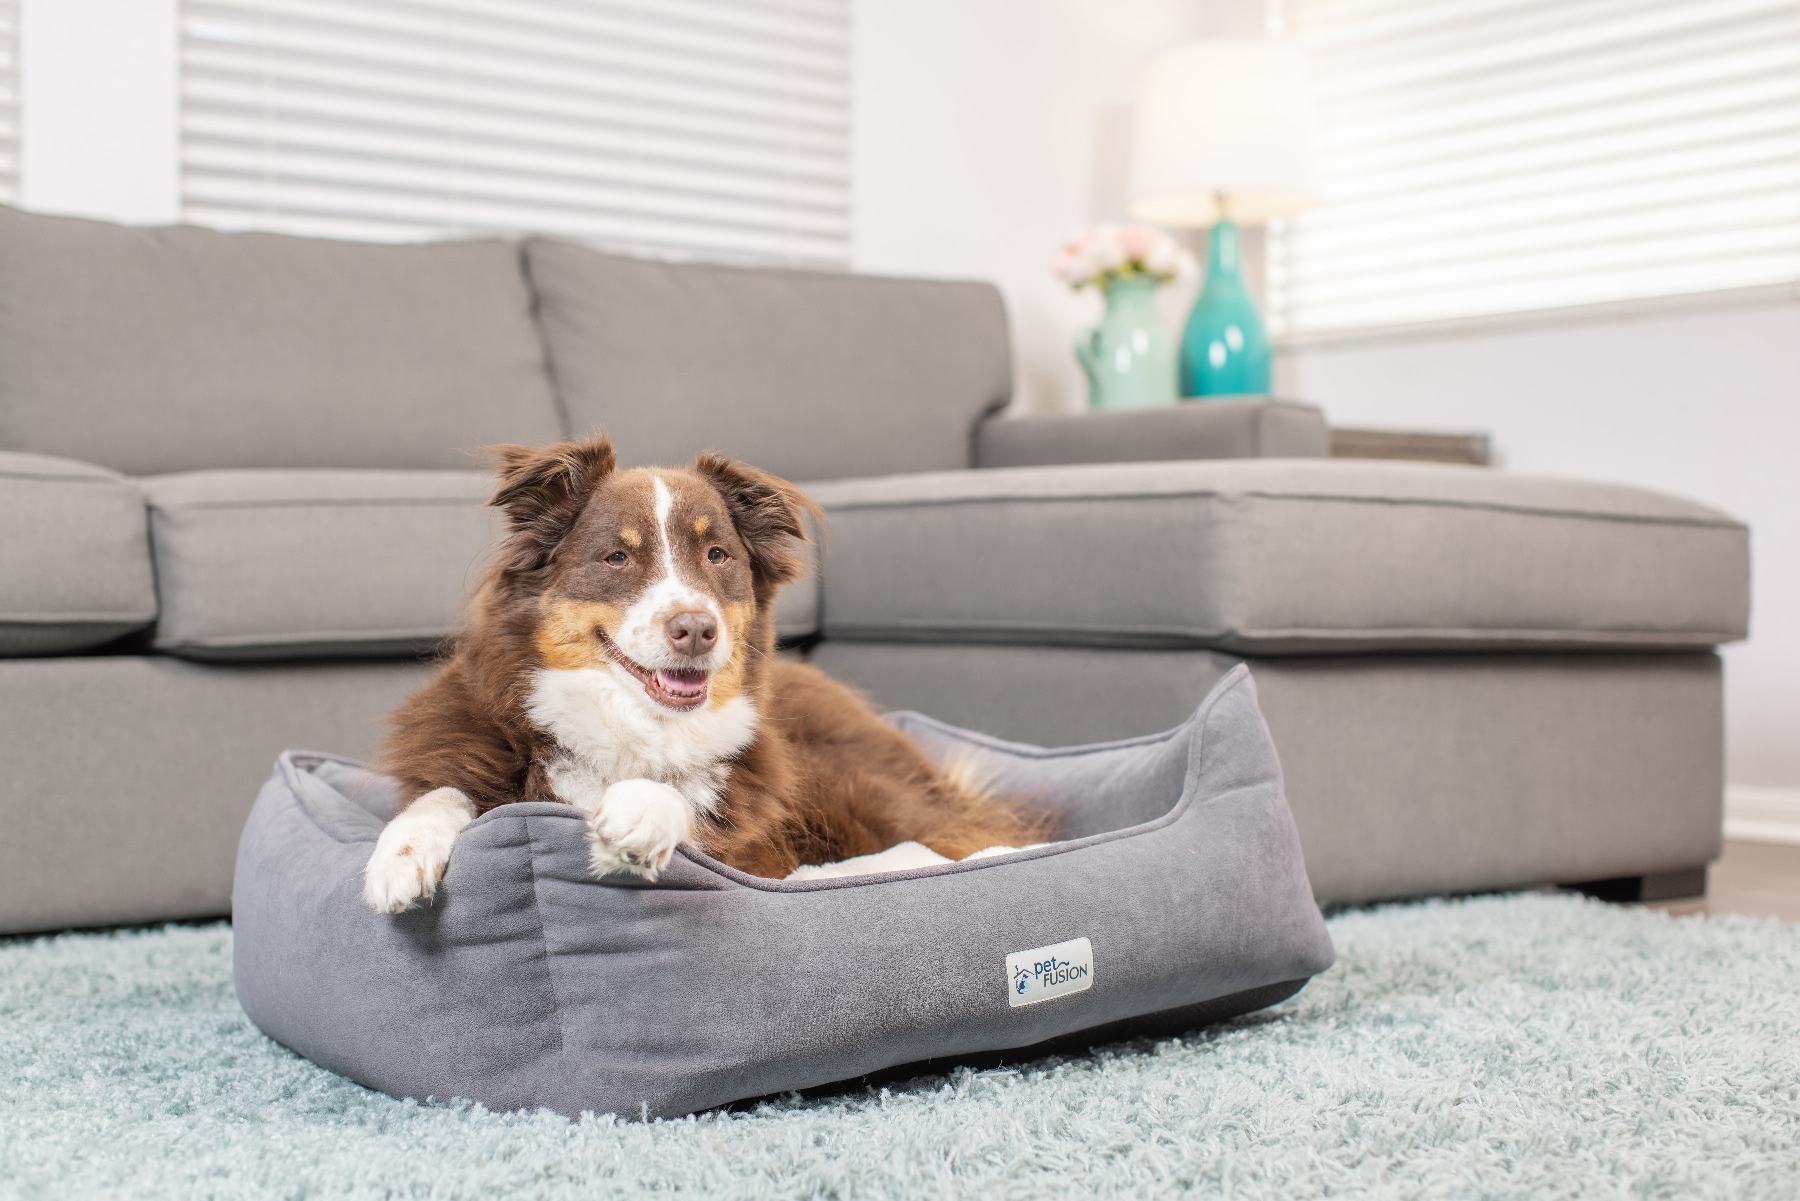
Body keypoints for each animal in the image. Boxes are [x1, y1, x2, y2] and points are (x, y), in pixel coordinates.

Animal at [358, 432, 1051, 911]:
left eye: (718, 555)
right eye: (617, 557)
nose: (695, 629)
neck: (633, 725)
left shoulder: (756, 846)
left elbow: (689, 812)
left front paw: (641, 810)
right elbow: (444, 793)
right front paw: (399, 856)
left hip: (857, 791)